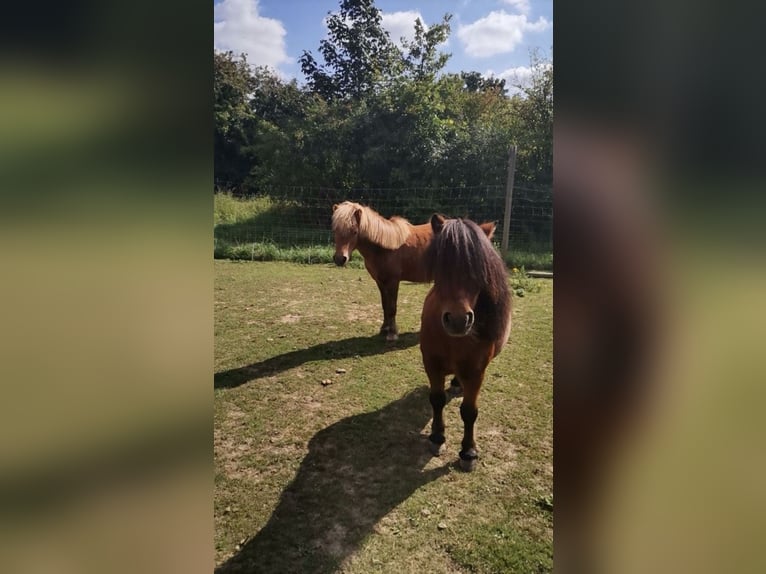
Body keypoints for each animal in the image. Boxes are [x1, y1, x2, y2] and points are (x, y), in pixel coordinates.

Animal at [331, 201, 495, 342]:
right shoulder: (380, 282)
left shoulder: (393, 282)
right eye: (335, 230)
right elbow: (385, 305)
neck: (385, 246)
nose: (340, 259)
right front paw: (384, 330)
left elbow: (392, 307)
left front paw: (392, 334)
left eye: (354, 231)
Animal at [420, 214, 512, 471]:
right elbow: (437, 400)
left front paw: (468, 452)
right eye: (441, 265)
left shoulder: (475, 372)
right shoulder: (431, 364)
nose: (458, 320)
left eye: (480, 270)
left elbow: (469, 412)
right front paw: (437, 437)